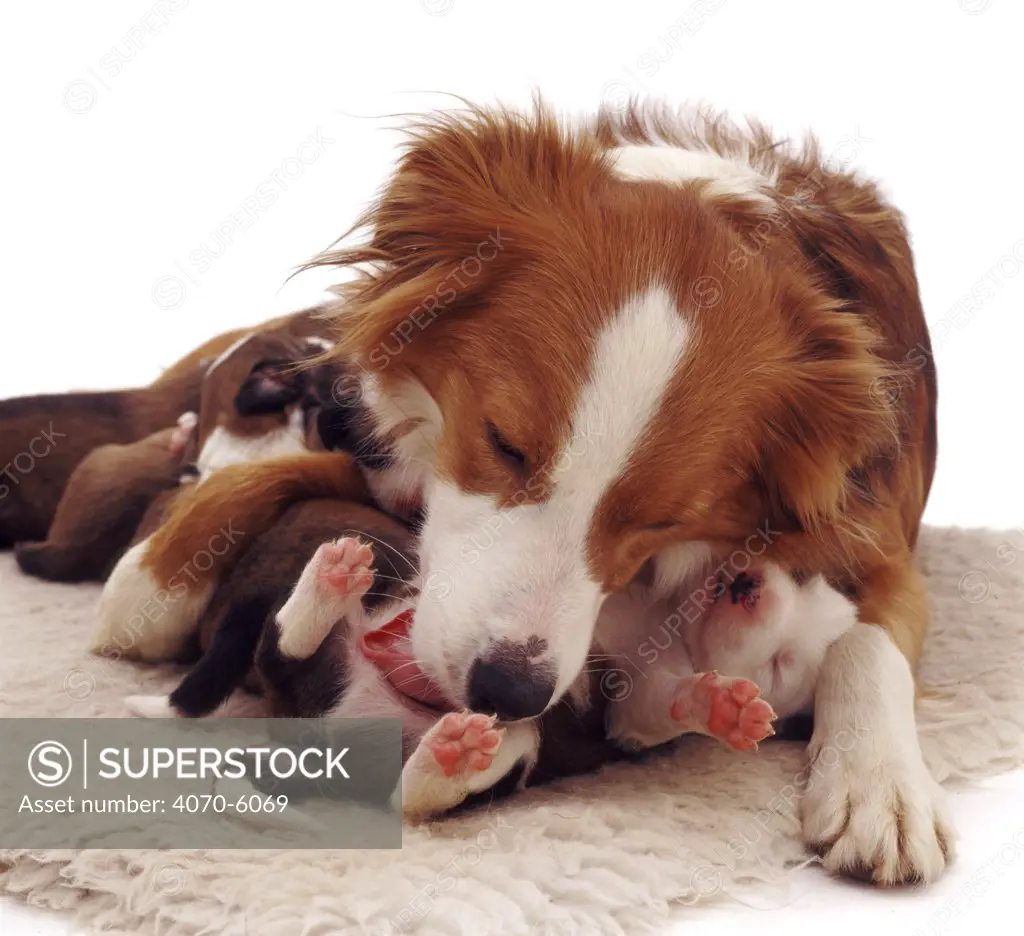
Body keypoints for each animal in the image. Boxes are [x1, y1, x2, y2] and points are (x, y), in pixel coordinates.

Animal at [305, 103, 950, 884]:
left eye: (662, 519)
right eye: (503, 442)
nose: (508, 693)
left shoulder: (879, 537)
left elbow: (866, 639)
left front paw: (878, 784)